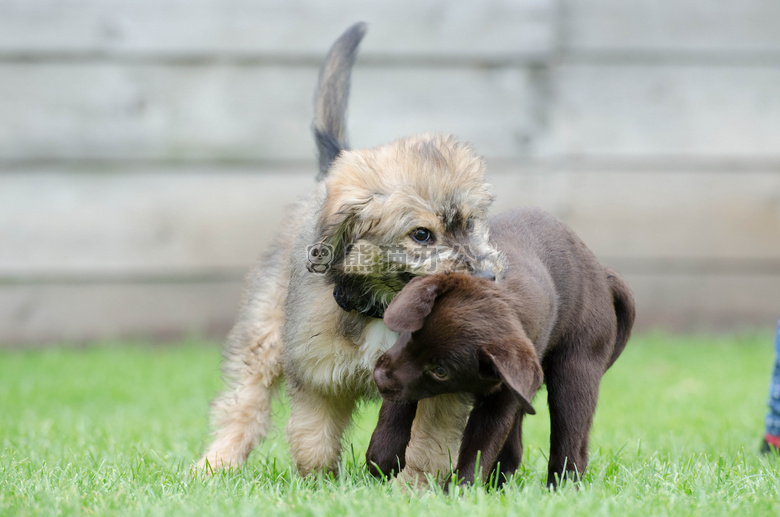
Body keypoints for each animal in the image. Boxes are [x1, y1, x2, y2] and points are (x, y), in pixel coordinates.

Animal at [194, 24, 500, 476]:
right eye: (421, 235)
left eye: (471, 222)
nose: (487, 278)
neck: (385, 308)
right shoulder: (318, 376)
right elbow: (313, 440)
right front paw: (320, 483)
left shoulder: (441, 384)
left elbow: (427, 446)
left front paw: (415, 486)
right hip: (264, 334)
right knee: (242, 404)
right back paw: (217, 463)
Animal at [370, 207, 632, 488]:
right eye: (411, 334)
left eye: (441, 371)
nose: (379, 378)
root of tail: (602, 273)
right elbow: (397, 406)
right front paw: (383, 456)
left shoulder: (503, 393)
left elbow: (481, 446)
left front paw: (460, 488)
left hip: (576, 368)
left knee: (571, 438)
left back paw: (561, 487)